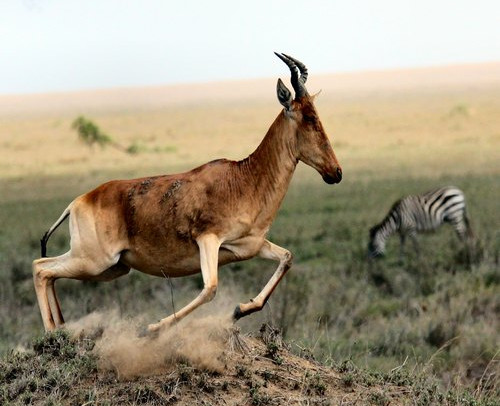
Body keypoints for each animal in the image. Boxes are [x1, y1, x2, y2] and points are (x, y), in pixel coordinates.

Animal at [33, 53, 342, 334]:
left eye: (317, 115)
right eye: (309, 118)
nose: (336, 172)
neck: (243, 178)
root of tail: (78, 202)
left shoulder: (250, 246)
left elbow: (287, 258)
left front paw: (240, 310)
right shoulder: (208, 239)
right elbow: (210, 288)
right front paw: (153, 327)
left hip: (113, 268)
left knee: (48, 273)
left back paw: (61, 329)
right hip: (95, 260)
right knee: (41, 267)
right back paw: (52, 333)